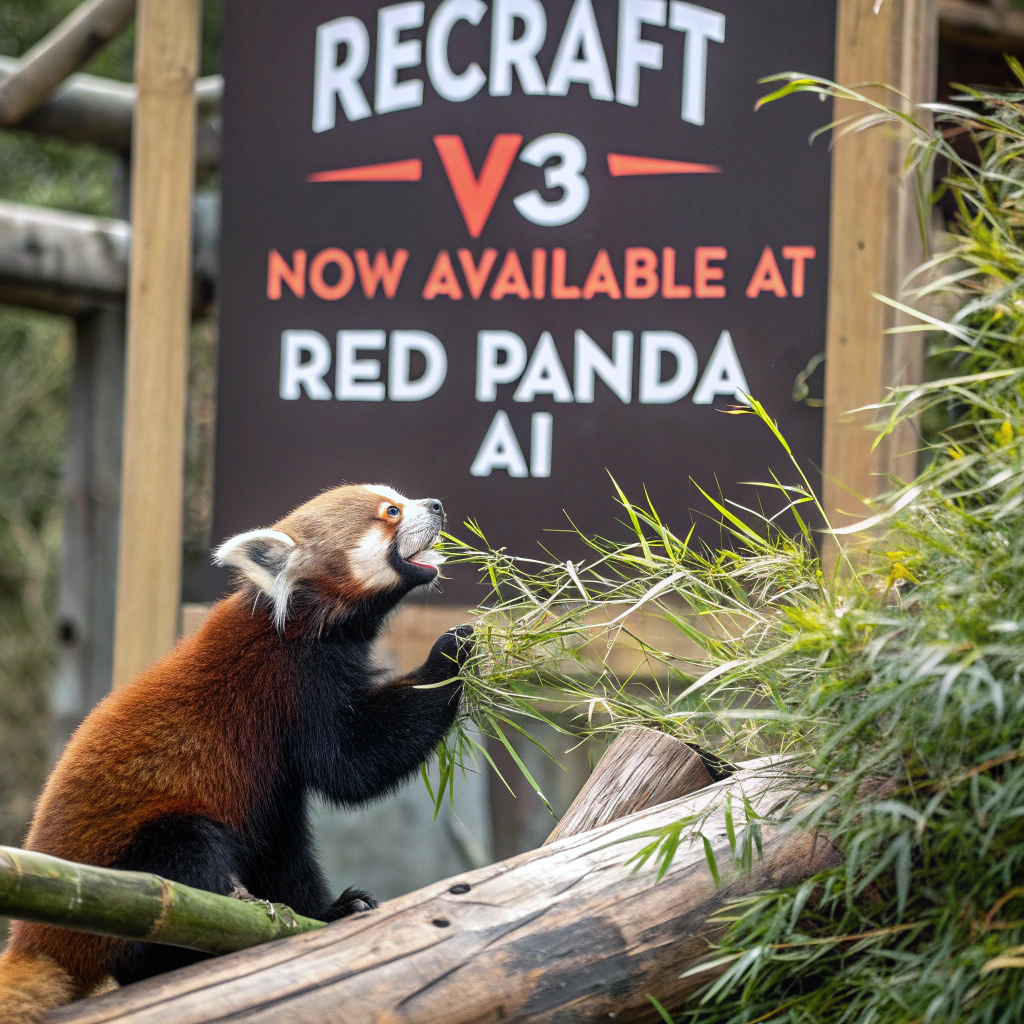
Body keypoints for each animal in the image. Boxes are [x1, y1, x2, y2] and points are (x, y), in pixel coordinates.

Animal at [0, 483, 471, 1019]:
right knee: (188, 850)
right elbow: (353, 764)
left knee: (280, 849)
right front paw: (454, 648)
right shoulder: (290, 680)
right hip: (130, 858)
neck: (301, 619)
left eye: (399, 498)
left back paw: (324, 912)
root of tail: (34, 940)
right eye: (391, 512)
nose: (435, 505)